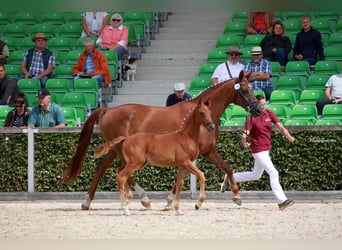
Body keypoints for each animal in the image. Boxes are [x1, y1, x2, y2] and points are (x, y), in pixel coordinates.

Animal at [63, 71, 262, 210]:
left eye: (253, 89)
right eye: (245, 90)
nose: (258, 110)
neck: (198, 119)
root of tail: (107, 110)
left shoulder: (207, 151)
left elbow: (227, 168)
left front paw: (237, 197)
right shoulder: (191, 155)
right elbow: (183, 177)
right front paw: (170, 202)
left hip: (114, 149)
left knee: (102, 169)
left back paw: (88, 202)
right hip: (122, 151)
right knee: (120, 171)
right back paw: (143, 199)